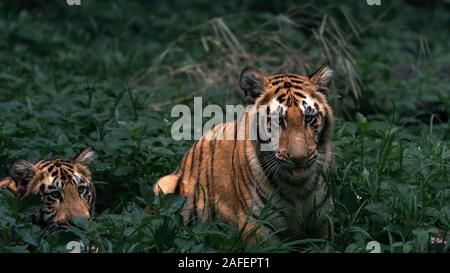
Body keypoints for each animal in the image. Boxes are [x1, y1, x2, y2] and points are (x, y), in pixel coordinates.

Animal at [154, 63, 334, 242]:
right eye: (278, 120)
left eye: (309, 118)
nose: (299, 158)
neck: (296, 187)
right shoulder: (257, 224)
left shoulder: (324, 218)